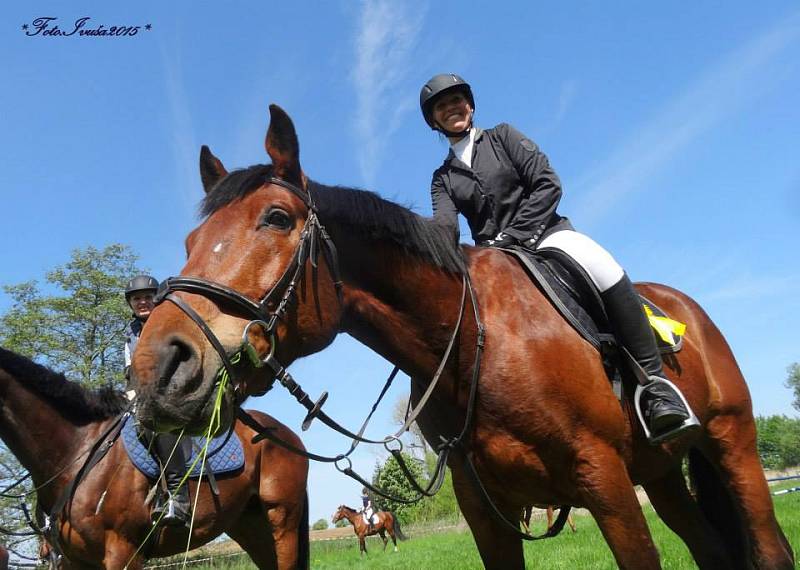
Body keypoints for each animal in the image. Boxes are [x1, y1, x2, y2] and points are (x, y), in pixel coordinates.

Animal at [0, 344, 310, 564]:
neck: (78, 452)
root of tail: (285, 434)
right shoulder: (73, 561)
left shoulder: (122, 552)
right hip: (250, 525)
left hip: (282, 520)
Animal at [131, 104, 792, 564]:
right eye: (191, 243)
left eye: (276, 218)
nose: (157, 368)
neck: (477, 341)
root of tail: (683, 307)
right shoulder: (486, 510)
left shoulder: (604, 479)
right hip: (661, 475)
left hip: (731, 443)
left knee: (767, 546)